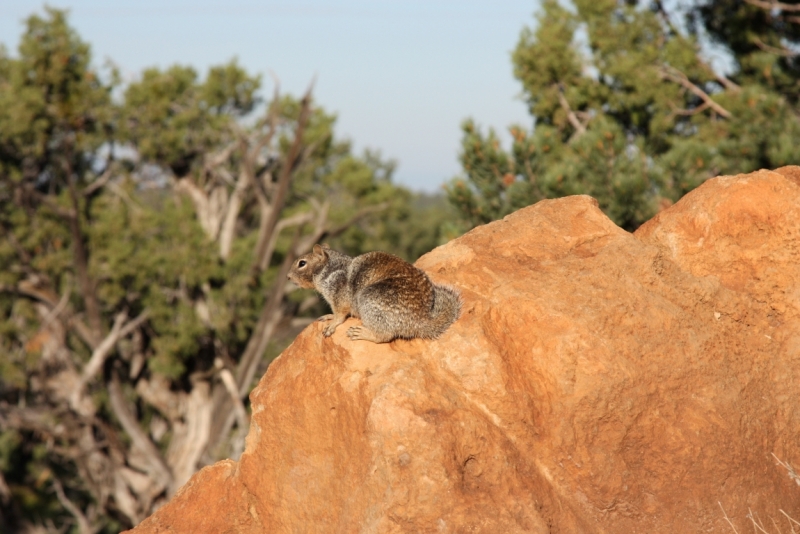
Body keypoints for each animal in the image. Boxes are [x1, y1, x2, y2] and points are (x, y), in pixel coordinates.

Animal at [288, 245, 462, 346]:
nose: (288, 277)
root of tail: (421, 321)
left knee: (384, 336)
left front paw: (332, 324)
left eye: (302, 263)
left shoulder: (338, 293)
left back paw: (361, 333)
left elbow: (340, 314)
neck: (330, 269)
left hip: (369, 299)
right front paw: (328, 316)